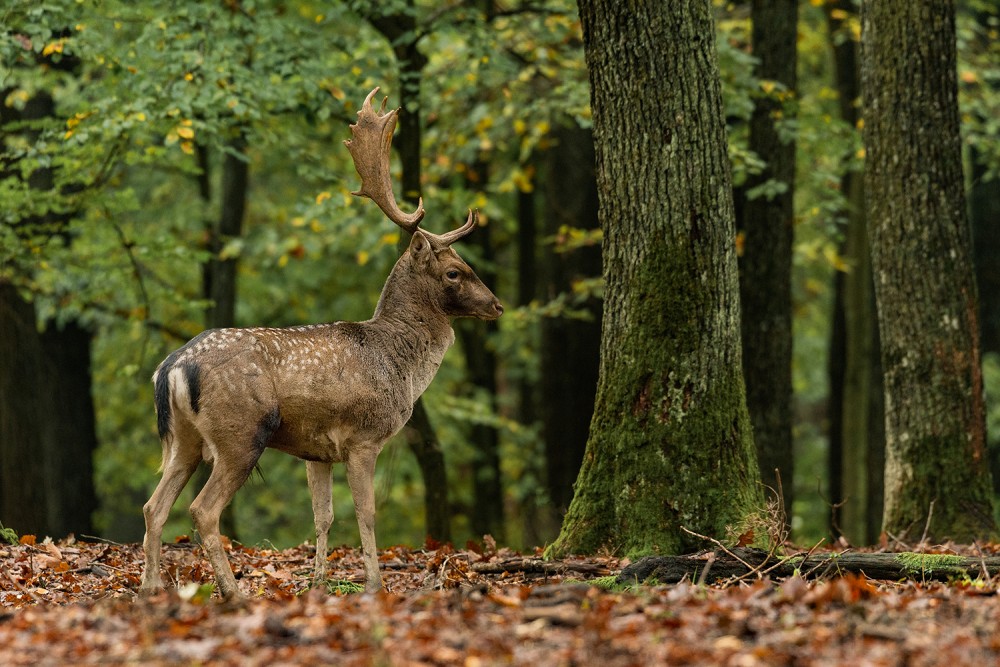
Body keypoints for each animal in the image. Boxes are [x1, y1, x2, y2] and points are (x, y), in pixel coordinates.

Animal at [137, 88, 504, 600]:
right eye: (454, 272)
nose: (497, 305)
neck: (398, 364)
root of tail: (171, 367)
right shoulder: (364, 437)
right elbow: (366, 513)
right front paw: (373, 583)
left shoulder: (316, 451)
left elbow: (323, 516)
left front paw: (318, 582)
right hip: (241, 432)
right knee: (202, 510)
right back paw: (231, 592)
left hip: (181, 440)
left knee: (153, 506)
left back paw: (150, 589)